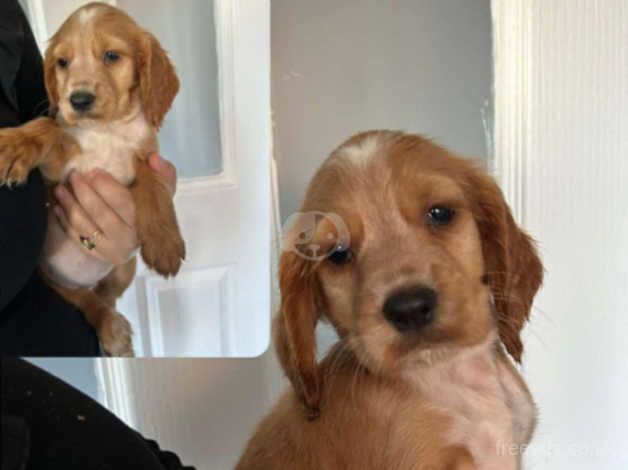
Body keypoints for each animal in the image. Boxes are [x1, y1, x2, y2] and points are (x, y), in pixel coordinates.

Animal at [0, 2, 184, 356]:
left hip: (124, 267)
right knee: (86, 300)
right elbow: (48, 126)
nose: (79, 99)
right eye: (62, 62)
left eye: (111, 56)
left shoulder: (146, 157)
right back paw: (111, 329)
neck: (107, 130)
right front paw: (13, 146)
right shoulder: (56, 170)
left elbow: (153, 184)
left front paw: (164, 243)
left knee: (105, 295)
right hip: (51, 277)